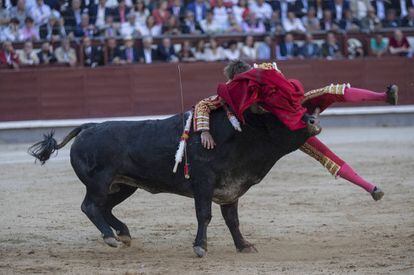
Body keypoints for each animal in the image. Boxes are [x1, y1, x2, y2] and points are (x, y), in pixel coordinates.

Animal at [29, 109, 308, 258]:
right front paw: (200, 247)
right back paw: (110, 237)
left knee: (103, 208)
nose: (312, 120)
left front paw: (244, 246)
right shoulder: (203, 185)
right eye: (282, 114)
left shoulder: (230, 190)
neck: (238, 135)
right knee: (89, 206)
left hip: (123, 186)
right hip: (99, 182)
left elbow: (232, 220)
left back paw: (124, 234)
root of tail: (90, 127)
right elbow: (204, 215)